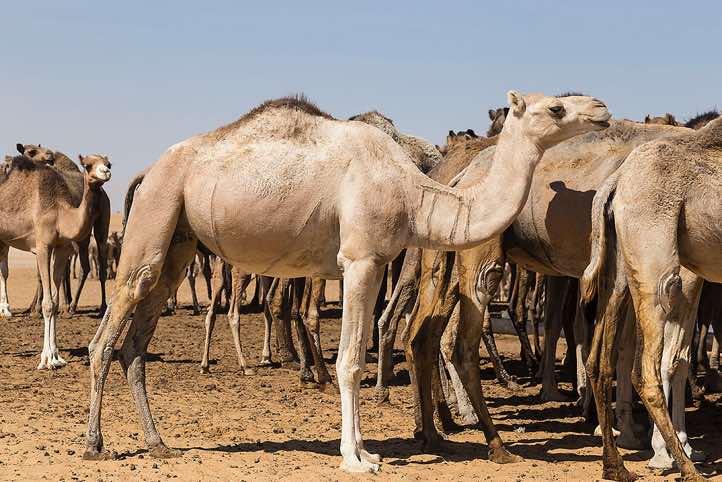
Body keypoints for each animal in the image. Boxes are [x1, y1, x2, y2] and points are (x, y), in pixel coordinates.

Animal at [0, 153, 111, 368]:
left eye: (108, 163)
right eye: (87, 165)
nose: (106, 172)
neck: (61, 214)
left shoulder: (62, 249)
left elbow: (55, 300)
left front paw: (57, 356)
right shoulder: (43, 246)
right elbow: (48, 304)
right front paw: (47, 359)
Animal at [83, 93, 610, 473]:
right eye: (556, 107)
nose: (602, 109)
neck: (412, 191)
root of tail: (147, 169)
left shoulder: (374, 263)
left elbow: (356, 352)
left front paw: (366, 450)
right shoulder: (359, 259)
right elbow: (351, 362)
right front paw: (355, 459)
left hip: (179, 241)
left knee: (136, 342)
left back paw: (158, 443)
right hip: (154, 218)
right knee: (107, 336)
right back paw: (95, 444)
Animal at [580, 115, 722, 482]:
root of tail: (615, 182)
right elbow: (676, 359)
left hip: (618, 271)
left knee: (600, 360)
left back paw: (615, 465)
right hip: (657, 270)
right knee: (646, 371)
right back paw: (686, 468)